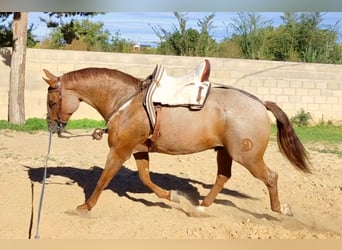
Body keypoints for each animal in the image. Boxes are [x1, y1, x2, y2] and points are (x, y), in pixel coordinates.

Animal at [42, 61, 310, 216]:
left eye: (52, 101)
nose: (52, 127)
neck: (125, 100)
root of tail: (260, 103)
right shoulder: (139, 149)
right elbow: (145, 178)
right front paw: (172, 196)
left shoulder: (120, 150)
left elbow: (104, 179)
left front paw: (85, 207)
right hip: (225, 152)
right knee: (223, 177)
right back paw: (202, 206)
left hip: (248, 157)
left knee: (271, 177)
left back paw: (279, 210)